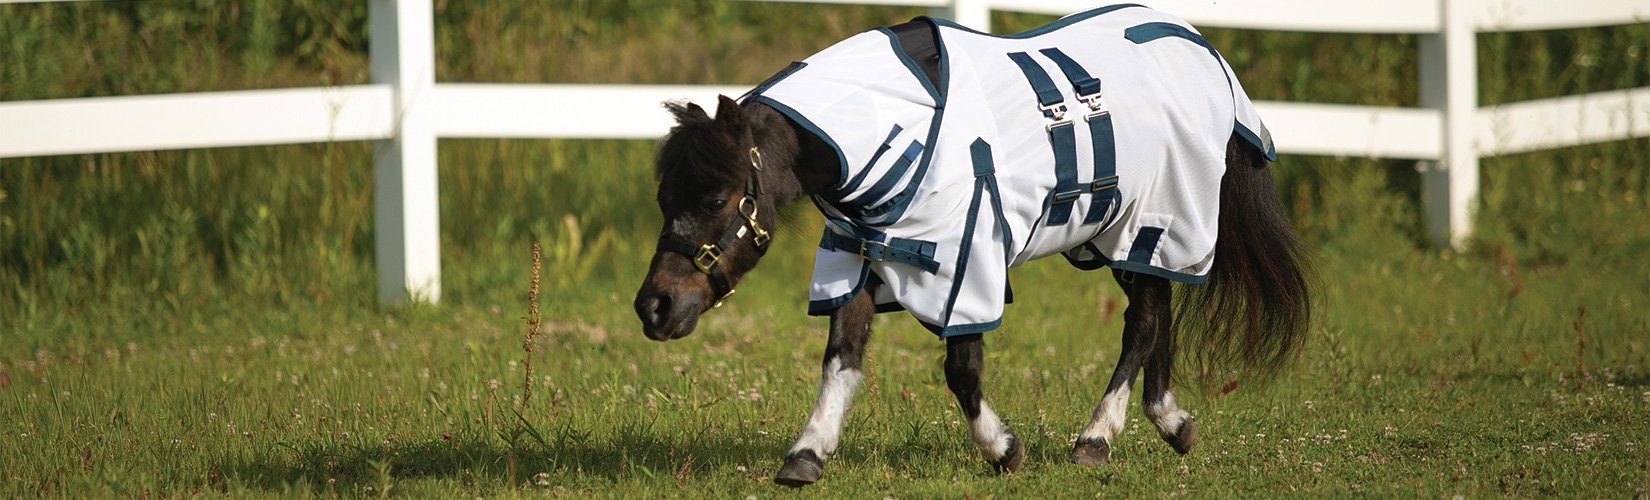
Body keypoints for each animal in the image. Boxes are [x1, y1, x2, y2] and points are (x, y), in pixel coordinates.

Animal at [634, 5, 1311, 487]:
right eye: (664, 199)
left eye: (716, 201)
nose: (654, 308)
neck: (894, 121)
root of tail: (1202, 49)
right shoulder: (856, 252)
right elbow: (841, 357)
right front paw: (808, 452)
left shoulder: (967, 259)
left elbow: (960, 369)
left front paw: (1003, 450)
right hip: (1121, 238)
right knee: (1158, 313)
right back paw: (1172, 423)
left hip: (1161, 220)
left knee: (1142, 323)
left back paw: (1097, 438)